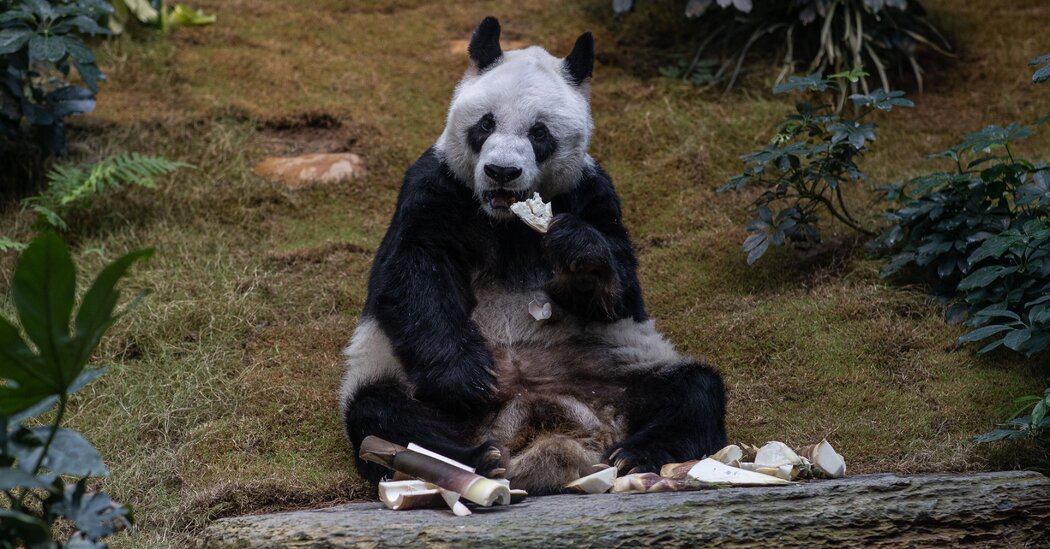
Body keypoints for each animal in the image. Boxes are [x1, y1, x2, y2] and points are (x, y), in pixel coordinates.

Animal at [340, 16, 726, 495]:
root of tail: (542, 427)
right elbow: (413, 273)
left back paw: (635, 455)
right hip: (407, 382)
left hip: (617, 368)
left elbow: (620, 290)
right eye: (485, 124)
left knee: (694, 389)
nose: (501, 171)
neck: (506, 219)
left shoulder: (591, 193)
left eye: (539, 133)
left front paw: (578, 251)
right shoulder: (436, 186)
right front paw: (468, 377)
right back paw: (474, 460)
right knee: (383, 413)